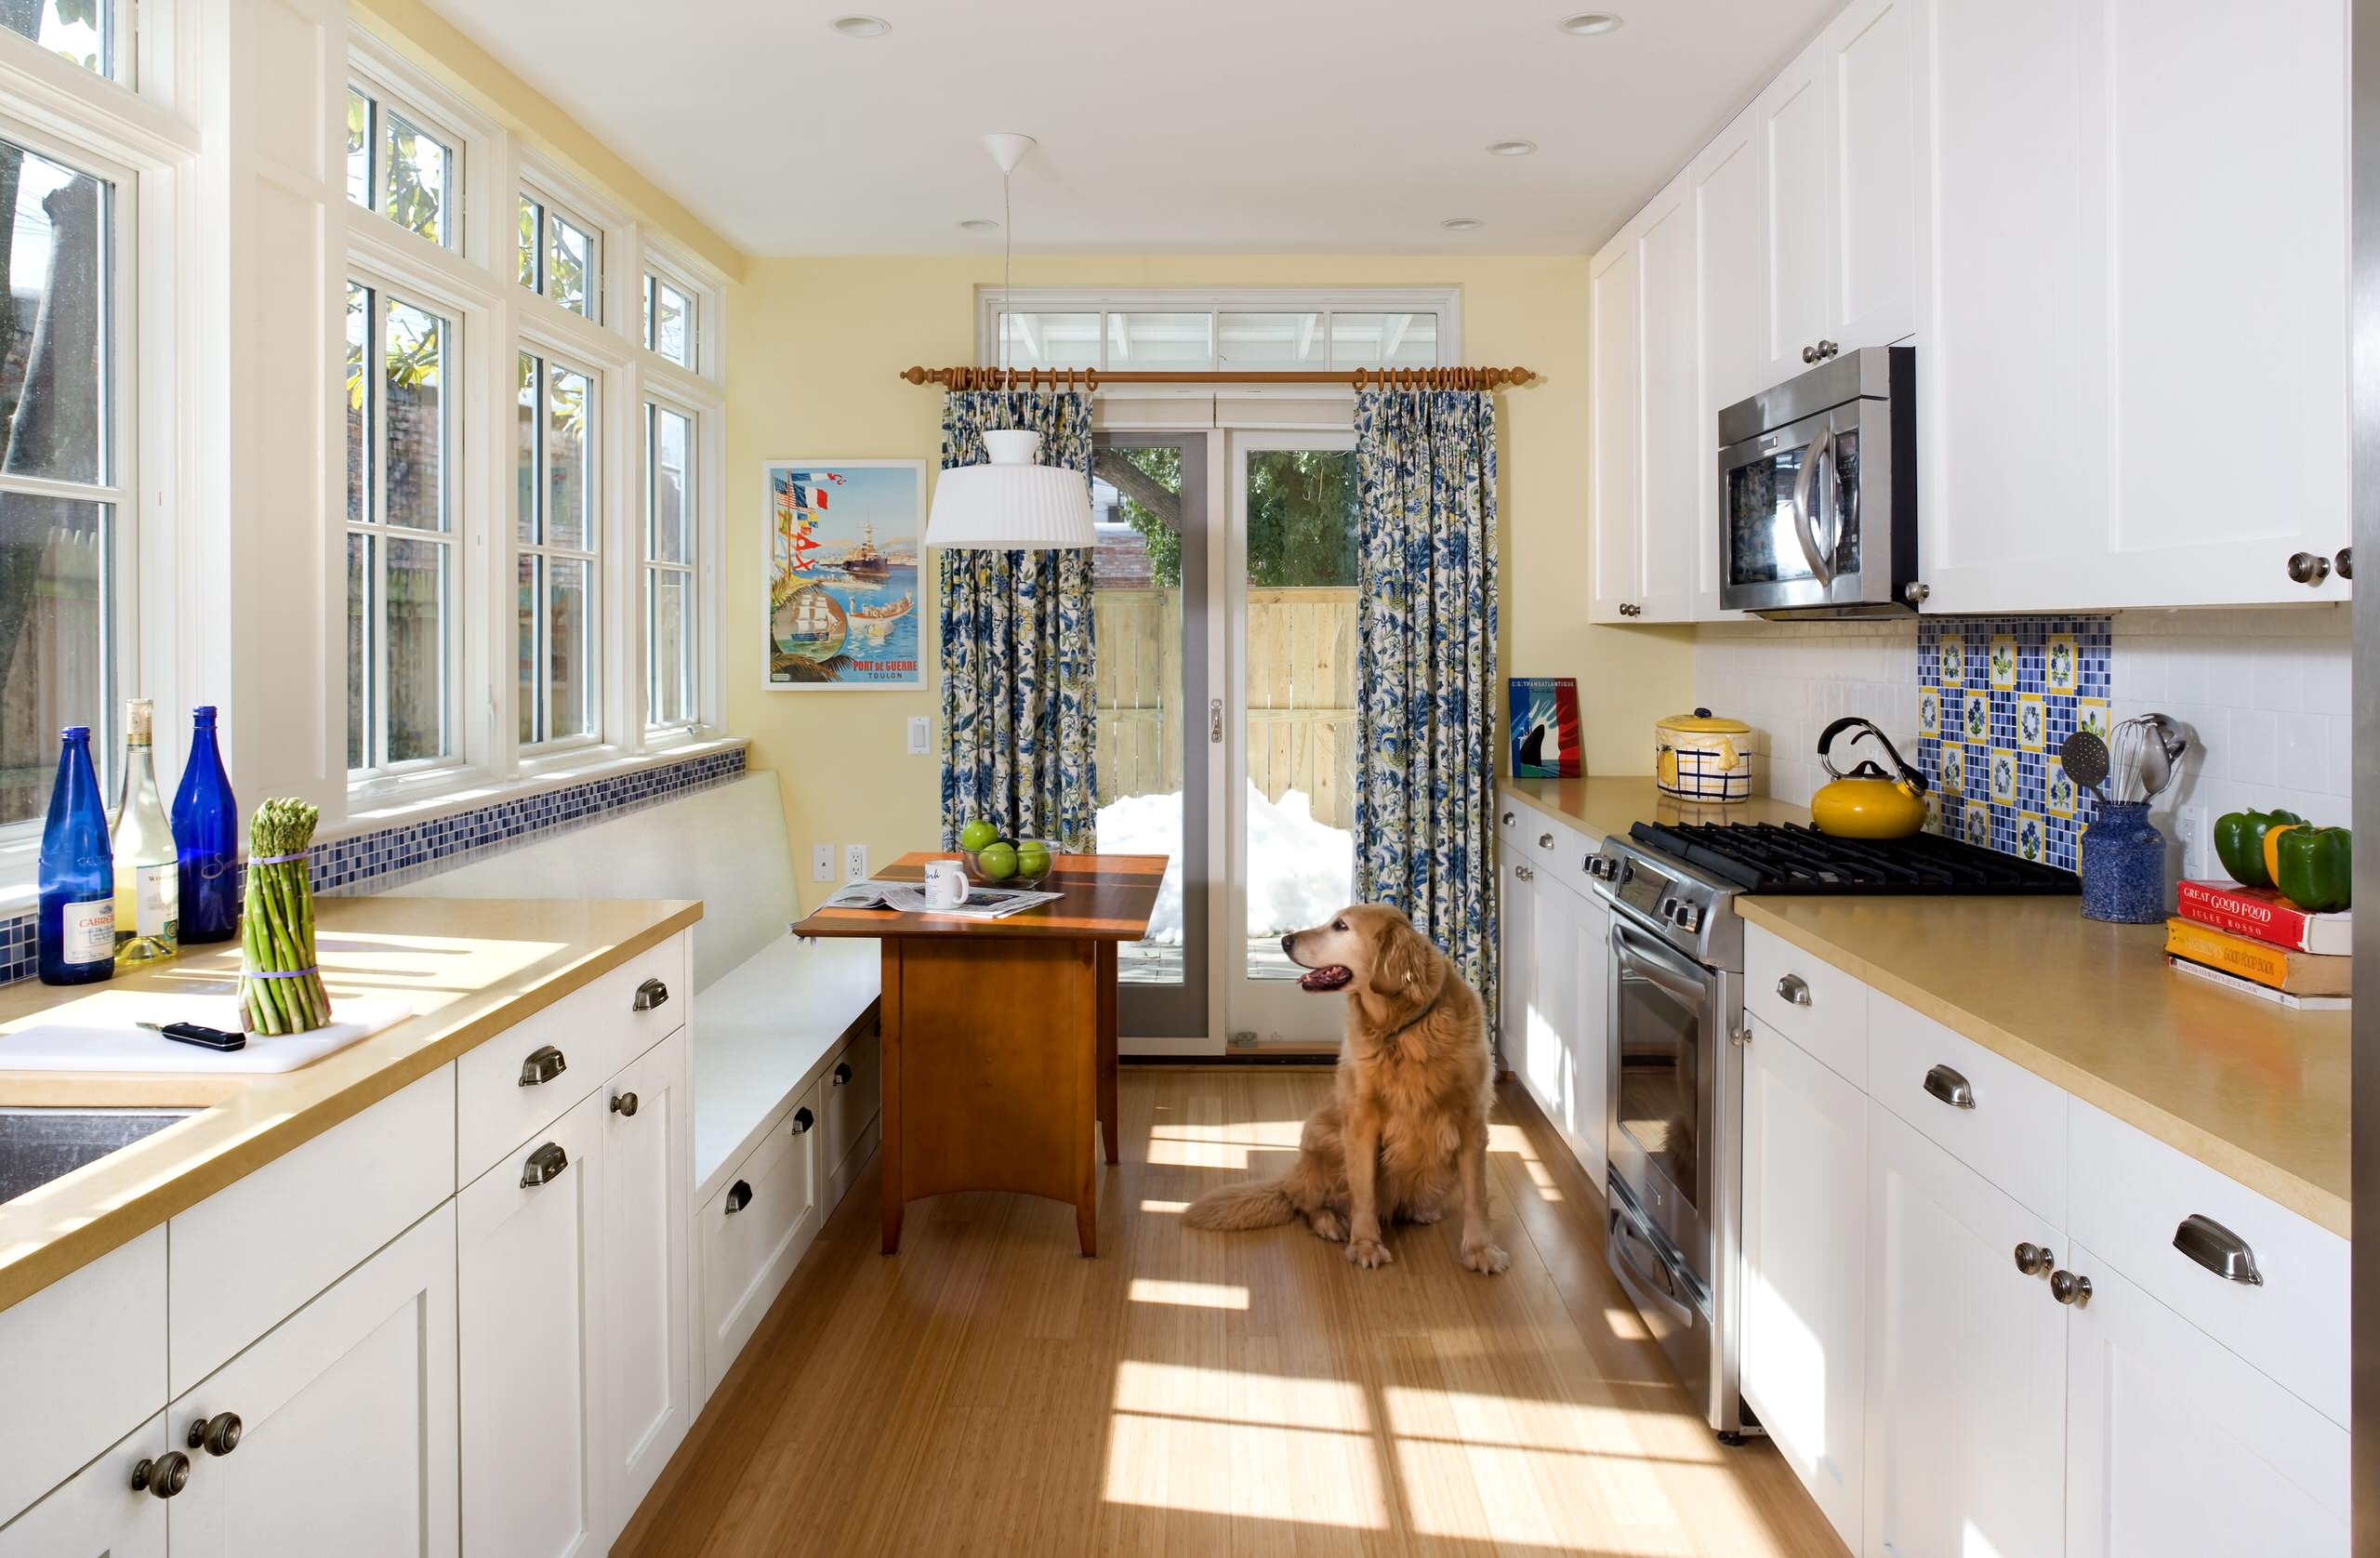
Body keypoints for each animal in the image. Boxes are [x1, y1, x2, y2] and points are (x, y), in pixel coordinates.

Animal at [1184, 904, 1503, 1284]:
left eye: (1340, 926)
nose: (1285, 940)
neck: (1401, 1030)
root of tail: (1291, 1178)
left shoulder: (1471, 1122)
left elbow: (1477, 1198)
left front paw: (1480, 1250)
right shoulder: (1361, 1120)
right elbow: (1363, 1191)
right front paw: (1365, 1245)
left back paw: (1421, 1209)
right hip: (1323, 1136)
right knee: (1305, 1202)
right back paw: (1329, 1221)